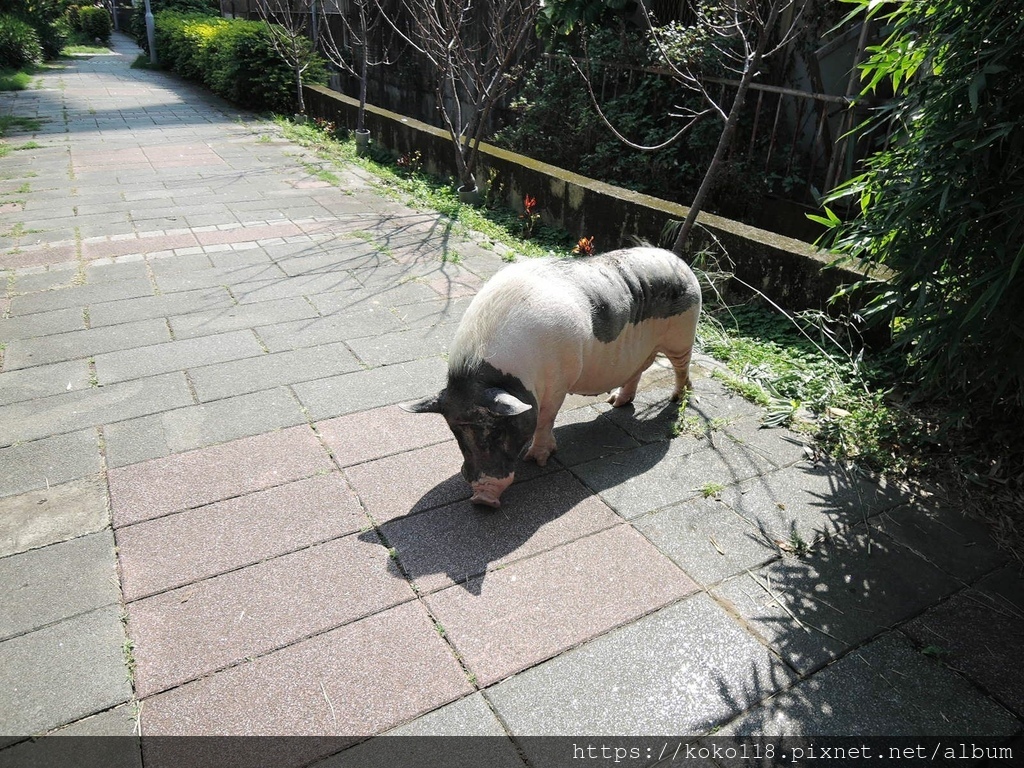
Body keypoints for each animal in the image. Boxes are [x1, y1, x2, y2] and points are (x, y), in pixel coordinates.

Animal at [399, 247, 704, 512]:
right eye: (455, 431)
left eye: (497, 430)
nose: (482, 499)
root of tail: (680, 262)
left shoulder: (559, 383)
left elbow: (546, 418)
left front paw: (537, 461)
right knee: (639, 369)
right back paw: (615, 402)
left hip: (683, 335)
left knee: (681, 369)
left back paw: (677, 398)